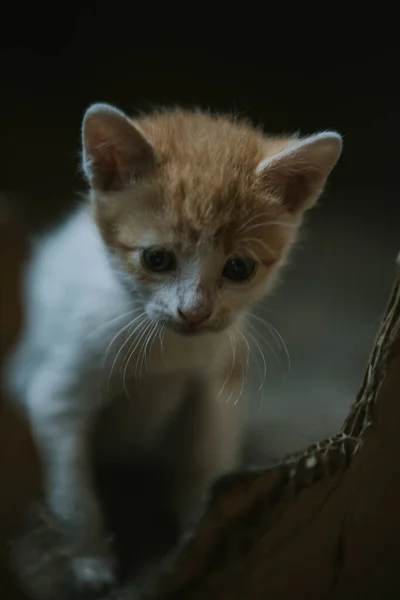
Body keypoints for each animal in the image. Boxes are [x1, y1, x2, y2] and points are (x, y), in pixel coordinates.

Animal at [3, 104, 342, 592]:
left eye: (239, 268)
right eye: (156, 259)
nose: (194, 313)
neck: (162, 349)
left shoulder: (217, 389)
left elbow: (204, 463)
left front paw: (196, 542)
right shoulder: (55, 400)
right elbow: (74, 493)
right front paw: (91, 561)